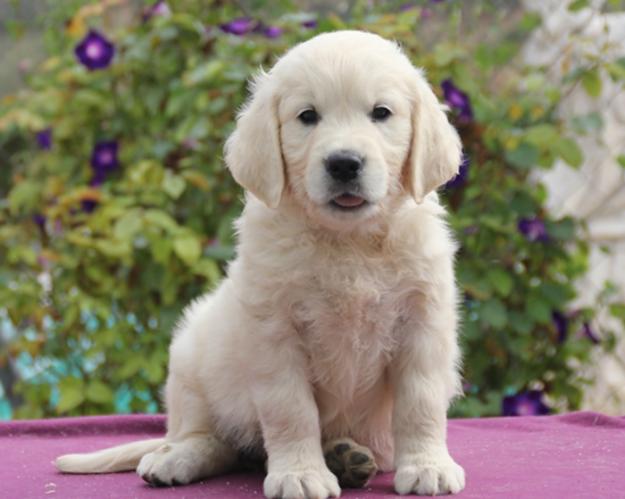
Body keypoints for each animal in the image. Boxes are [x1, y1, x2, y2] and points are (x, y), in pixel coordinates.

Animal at [56, 29, 466, 498]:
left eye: (382, 113)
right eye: (307, 116)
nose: (344, 163)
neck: (348, 241)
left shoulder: (423, 323)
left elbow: (421, 402)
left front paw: (428, 465)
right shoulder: (274, 331)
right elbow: (291, 409)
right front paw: (301, 474)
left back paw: (345, 456)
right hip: (190, 363)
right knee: (212, 439)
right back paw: (175, 458)